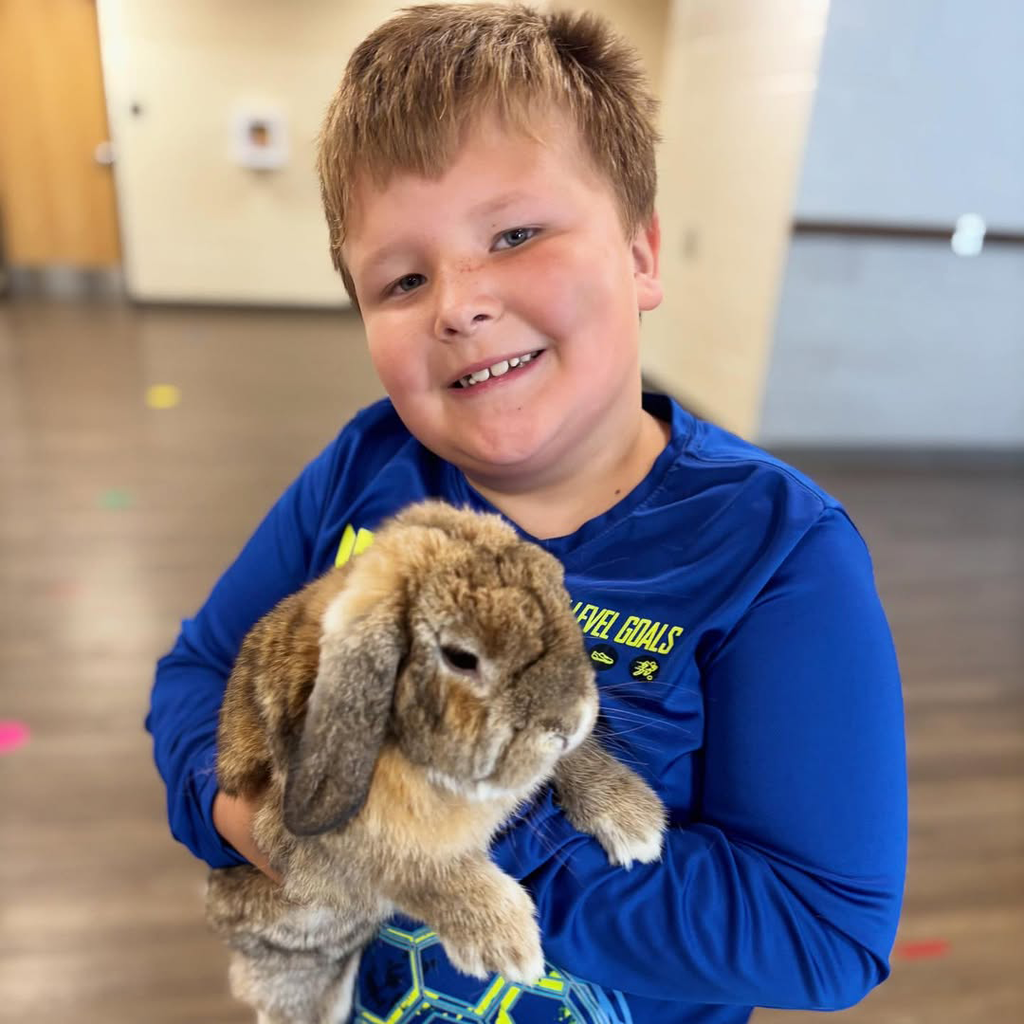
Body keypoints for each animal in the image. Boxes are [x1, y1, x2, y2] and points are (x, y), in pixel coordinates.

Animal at [205, 500, 666, 1024]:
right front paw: (507, 945)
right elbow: (421, 869)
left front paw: (634, 822)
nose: (571, 720)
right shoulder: (331, 842)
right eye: (462, 657)